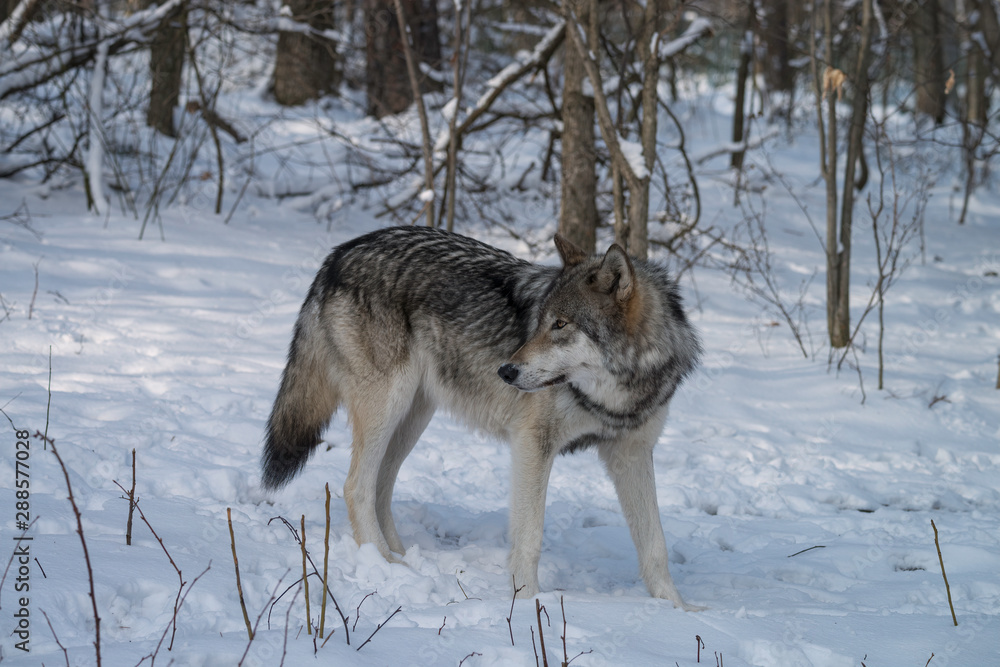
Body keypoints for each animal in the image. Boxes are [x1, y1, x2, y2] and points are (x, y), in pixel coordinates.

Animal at [260, 226, 702, 609]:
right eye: (539, 322)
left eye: (560, 325)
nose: (505, 371)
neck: (620, 392)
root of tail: (338, 254)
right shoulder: (532, 445)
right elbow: (529, 538)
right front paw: (528, 604)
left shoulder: (632, 453)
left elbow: (655, 545)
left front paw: (678, 610)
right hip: (388, 405)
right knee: (356, 487)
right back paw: (383, 563)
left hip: (413, 417)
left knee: (381, 488)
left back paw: (405, 561)